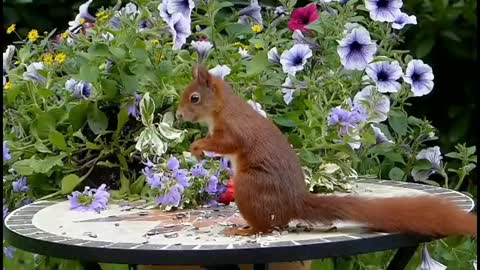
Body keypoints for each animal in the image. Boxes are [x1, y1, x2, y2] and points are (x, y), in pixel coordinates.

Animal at [175, 64, 476, 237]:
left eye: (194, 98)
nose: (178, 115)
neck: (222, 108)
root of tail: (295, 203)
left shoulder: (234, 131)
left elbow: (225, 145)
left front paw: (197, 146)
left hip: (250, 187)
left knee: (268, 226)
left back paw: (245, 230)